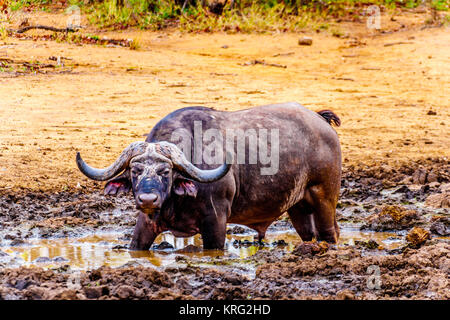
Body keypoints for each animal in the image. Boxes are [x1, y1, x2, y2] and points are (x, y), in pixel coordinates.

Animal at [76, 102, 342, 250]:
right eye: (135, 170)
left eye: (165, 171)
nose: (148, 199)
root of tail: (320, 119)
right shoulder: (146, 223)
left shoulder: (216, 221)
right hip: (298, 207)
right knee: (311, 233)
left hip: (325, 198)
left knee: (330, 234)